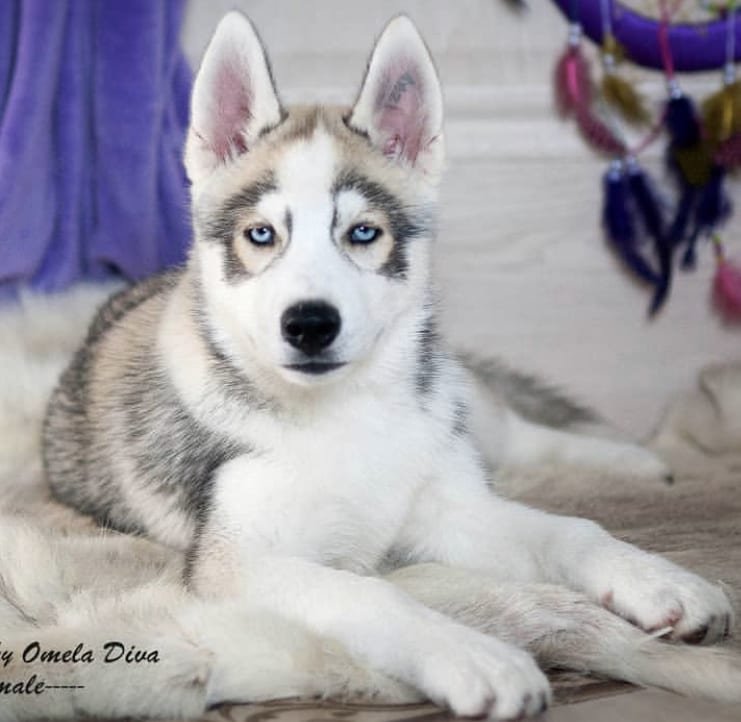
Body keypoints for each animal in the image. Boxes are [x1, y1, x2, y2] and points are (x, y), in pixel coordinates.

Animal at [2, 11, 732, 720]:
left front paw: (658, 579)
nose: (309, 324)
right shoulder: (237, 564)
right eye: (261, 234)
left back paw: (630, 460)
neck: (343, 414)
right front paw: (475, 656)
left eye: (362, 233)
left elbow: (571, 531)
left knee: (517, 433)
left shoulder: (449, 509)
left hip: (458, 405)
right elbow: (369, 593)